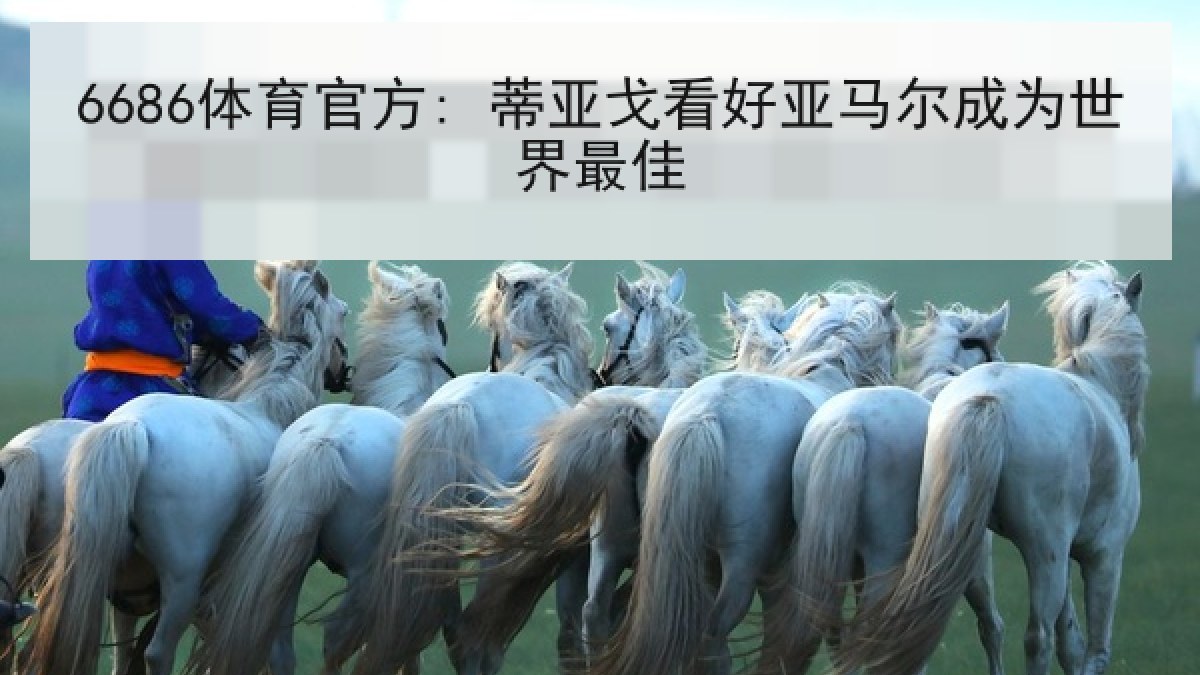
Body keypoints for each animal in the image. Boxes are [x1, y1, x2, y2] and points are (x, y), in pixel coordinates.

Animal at [25, 260, 351, 675]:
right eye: (344, 312)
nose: (344, 370)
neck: (271, 404)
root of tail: (131, 429)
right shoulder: (279, 571)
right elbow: (273, 651)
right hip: (183, 577)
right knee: (157, 651)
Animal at [181, 261, 454, 675]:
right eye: (442, 325)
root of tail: (324, 445)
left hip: (290, 564)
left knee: (280, 647)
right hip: (362, 572)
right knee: (338, 639)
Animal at [591, 284, 903, 675]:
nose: (601, 375)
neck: (828, 372)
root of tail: (707, 415)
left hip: (636, 548)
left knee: (599, 612)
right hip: (741, 564)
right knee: (713, 632)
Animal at [831, 261, 1148, 675]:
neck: (1100, 385)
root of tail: (988, 398)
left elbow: (1067, 640)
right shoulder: (1104, 554)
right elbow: (1093, 648)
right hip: (1042, 550)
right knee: (1036, 636)